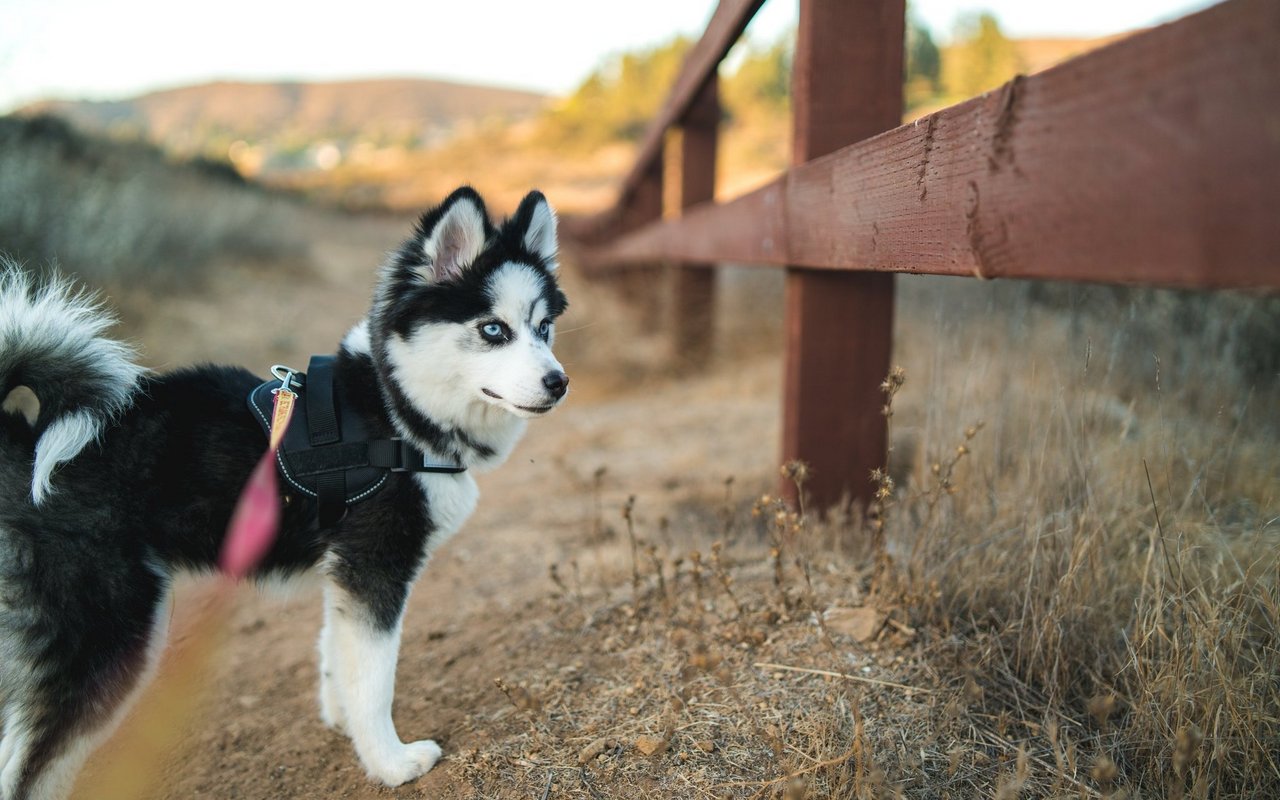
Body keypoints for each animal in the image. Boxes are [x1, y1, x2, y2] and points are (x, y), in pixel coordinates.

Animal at [0, 188, 570, 798]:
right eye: (493, 330)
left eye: (543, 328)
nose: (559, 383)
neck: (394, 408)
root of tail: (25, 440)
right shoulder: (376, 567)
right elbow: (375, 680)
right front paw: (390, 762)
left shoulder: (345, 571)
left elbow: (336, 653)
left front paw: (344, 721)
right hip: (105, 635)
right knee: (30, 766)